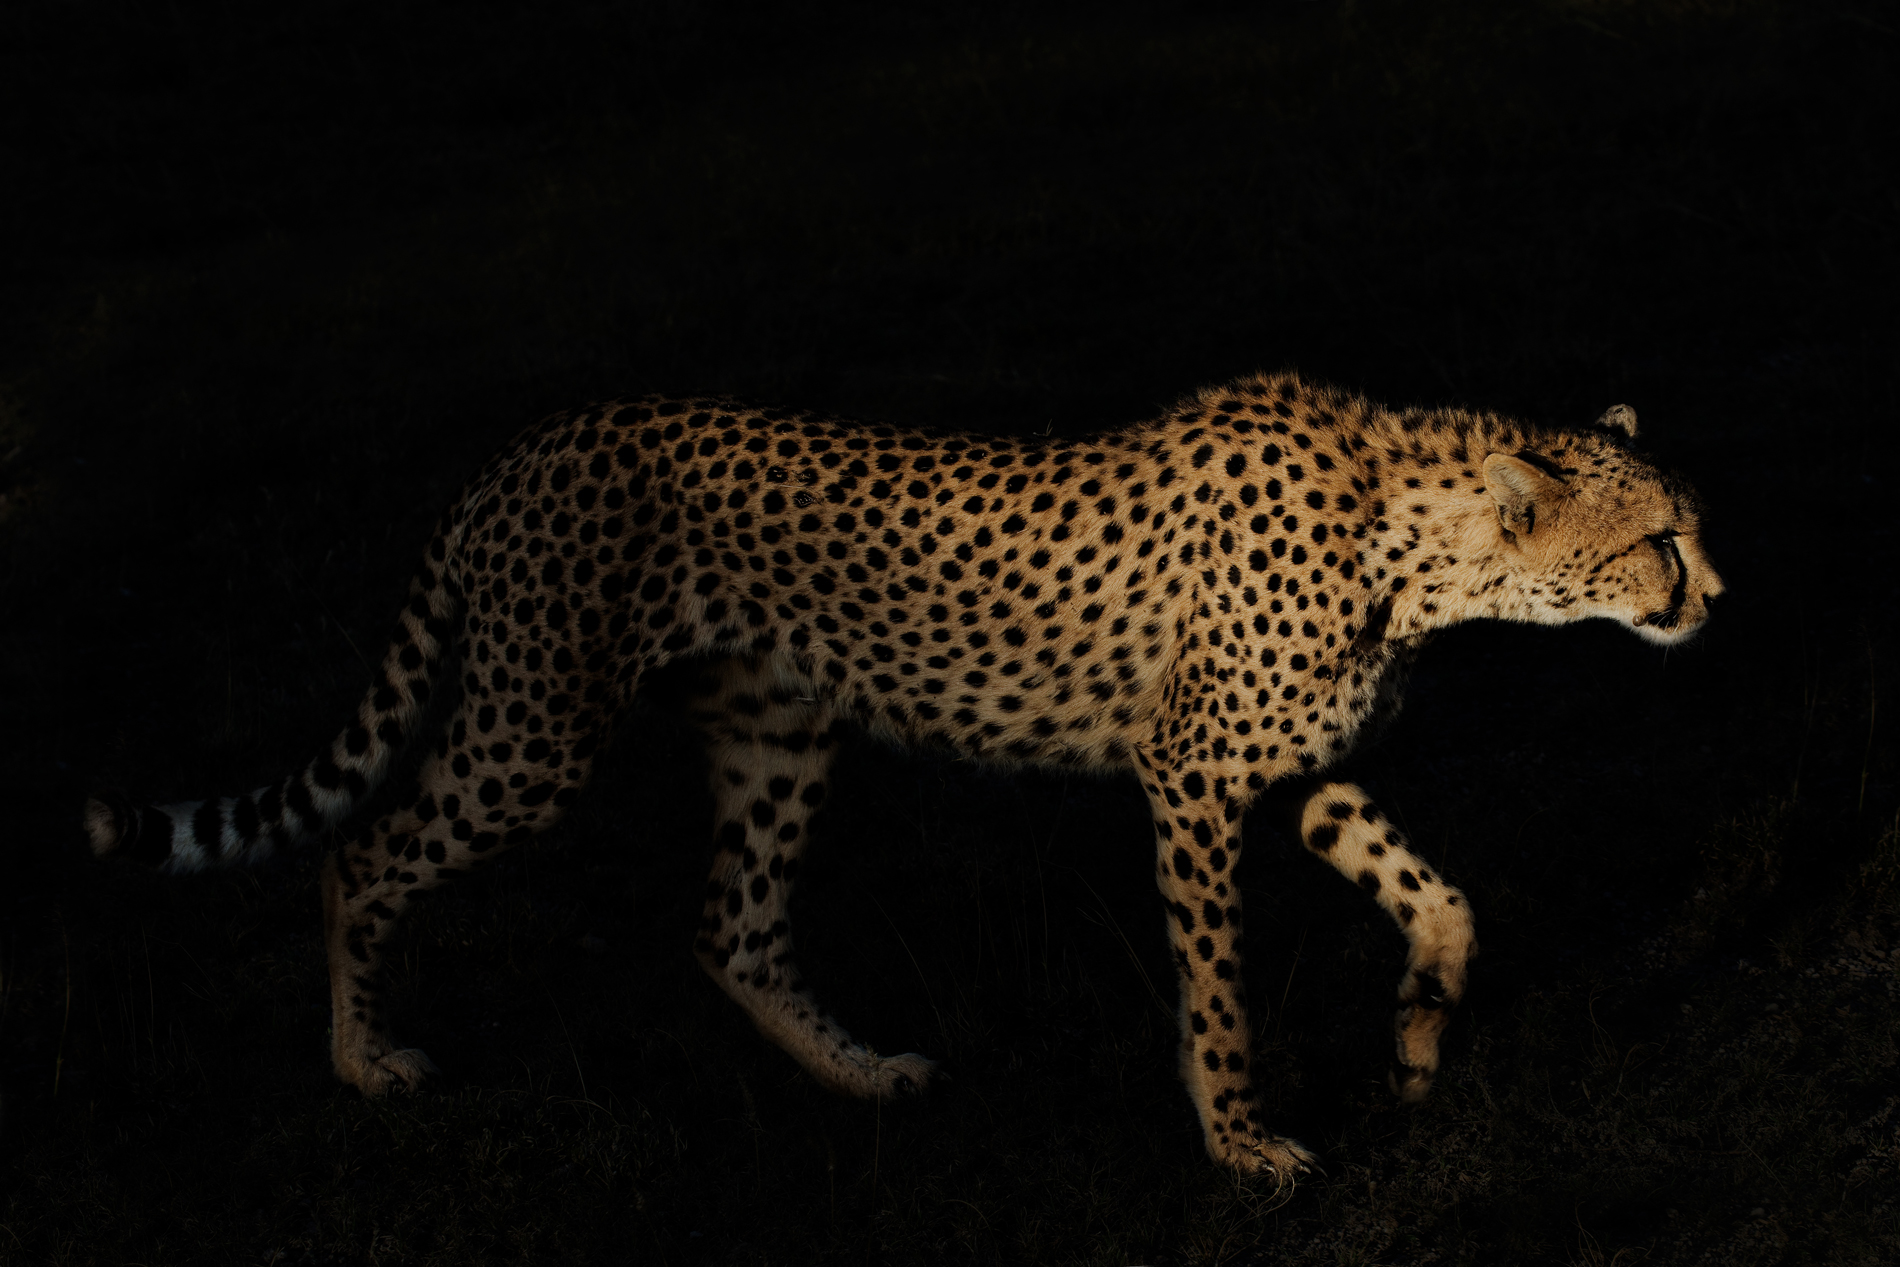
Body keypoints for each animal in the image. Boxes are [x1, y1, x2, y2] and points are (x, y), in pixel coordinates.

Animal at [84, 373, 1723, 1179]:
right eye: (1656, 540)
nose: (1715, 595)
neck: (1418, 546)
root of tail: (529, 442)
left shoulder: (1285, 764)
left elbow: (1438, 895)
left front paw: (1421, 1035)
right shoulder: (1193, 773)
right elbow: (1217, 987)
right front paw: (1243, 1141)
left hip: (777, 728)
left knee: (730, 926)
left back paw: (863, 1072)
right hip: (534, 731)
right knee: (356, 852)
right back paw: (364, 1062)